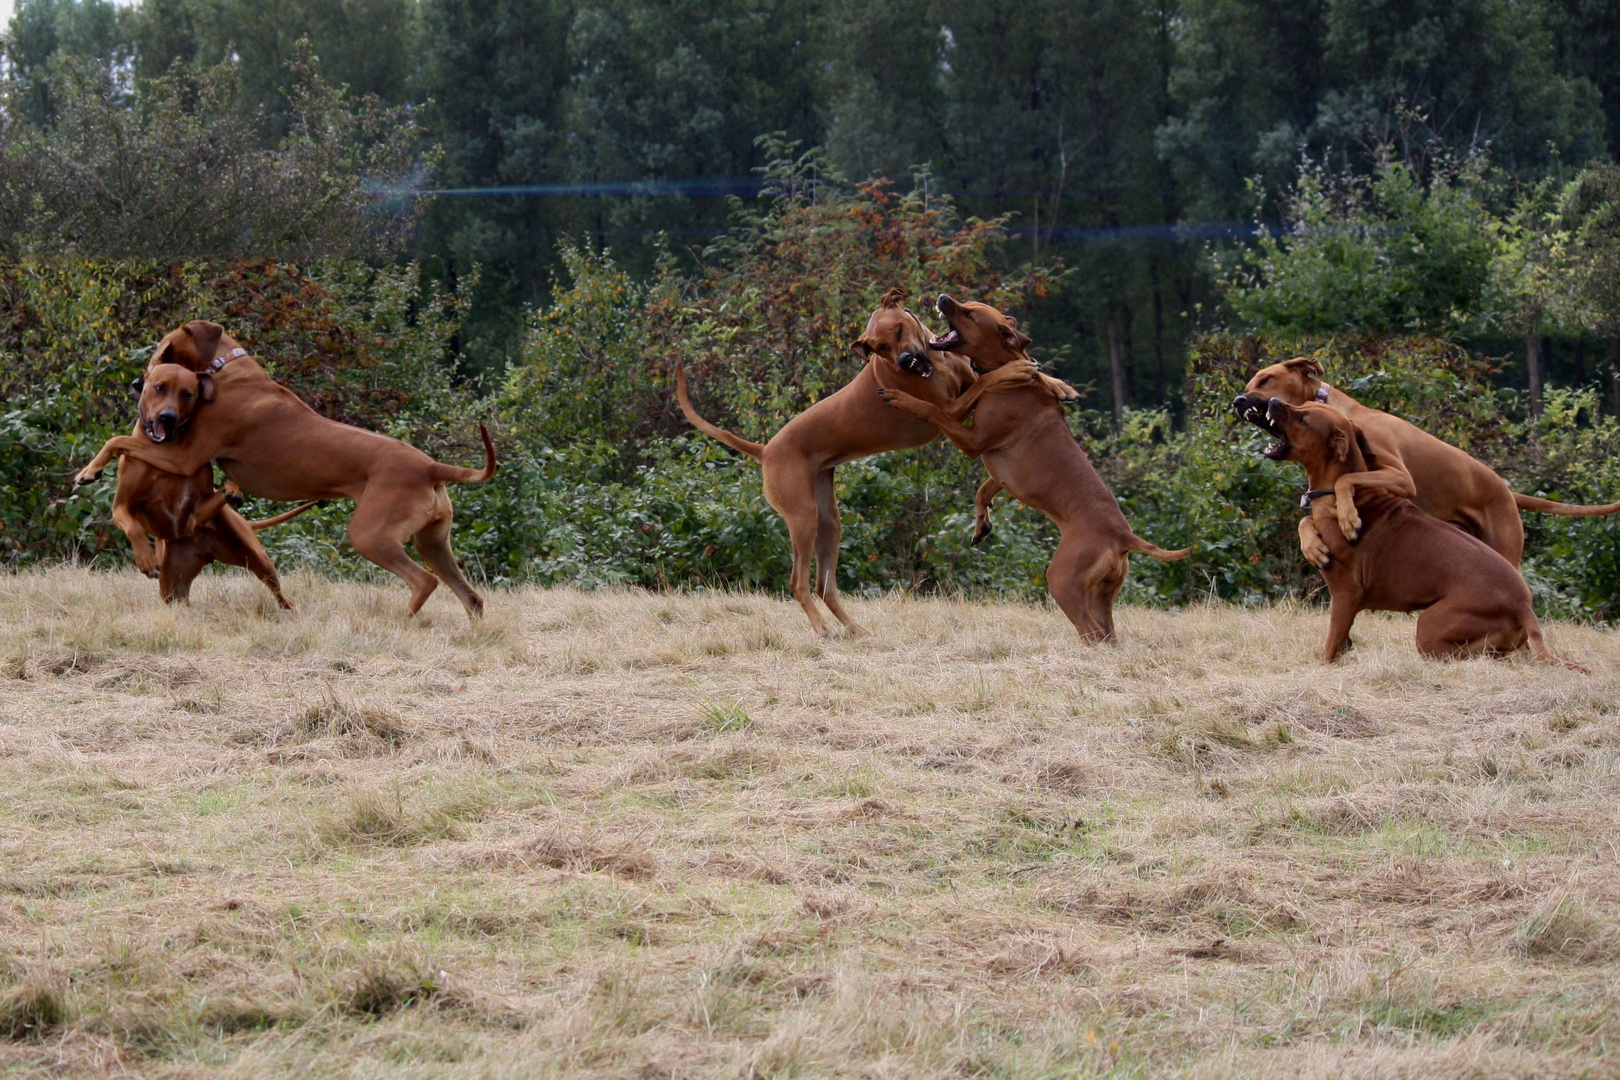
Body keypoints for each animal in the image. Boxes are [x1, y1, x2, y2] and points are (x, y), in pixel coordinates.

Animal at [76, 320, 492, 621]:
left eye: (164, 351)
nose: (136, 383)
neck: (230, 370)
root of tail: (430, 466)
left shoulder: (185, 456)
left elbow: (116, 439)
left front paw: (88, 471)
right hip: (432, 542)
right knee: (470, 594)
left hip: (371, 536)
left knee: (424, 582)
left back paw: (399, 622)